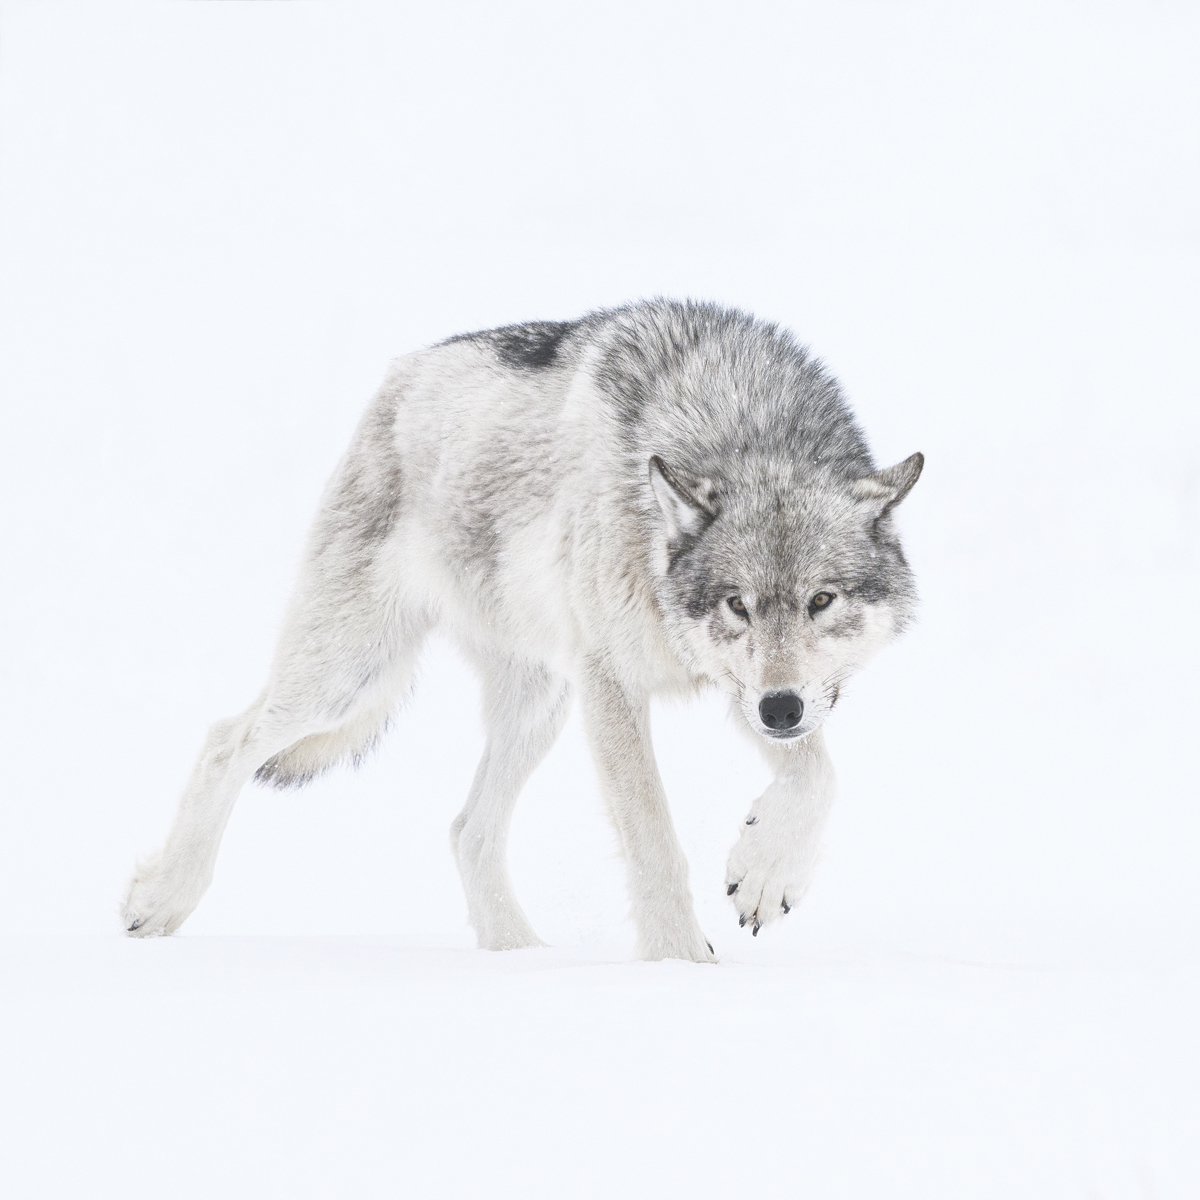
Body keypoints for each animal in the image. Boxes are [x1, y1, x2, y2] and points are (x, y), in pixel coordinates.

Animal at [122, 299, 922, 960]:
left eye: (821, 600)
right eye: (738, 605)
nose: (779, 711)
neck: (742, 428)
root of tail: (400, 374)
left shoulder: (748, 689)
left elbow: (819, 777)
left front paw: (765, 875)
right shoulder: (614, 684)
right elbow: (655, 844)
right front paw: (680, 968)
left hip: (540, 705)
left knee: (468, 830)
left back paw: (517, 958)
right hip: (351, 675)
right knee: (226, 741)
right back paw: (162, 900)